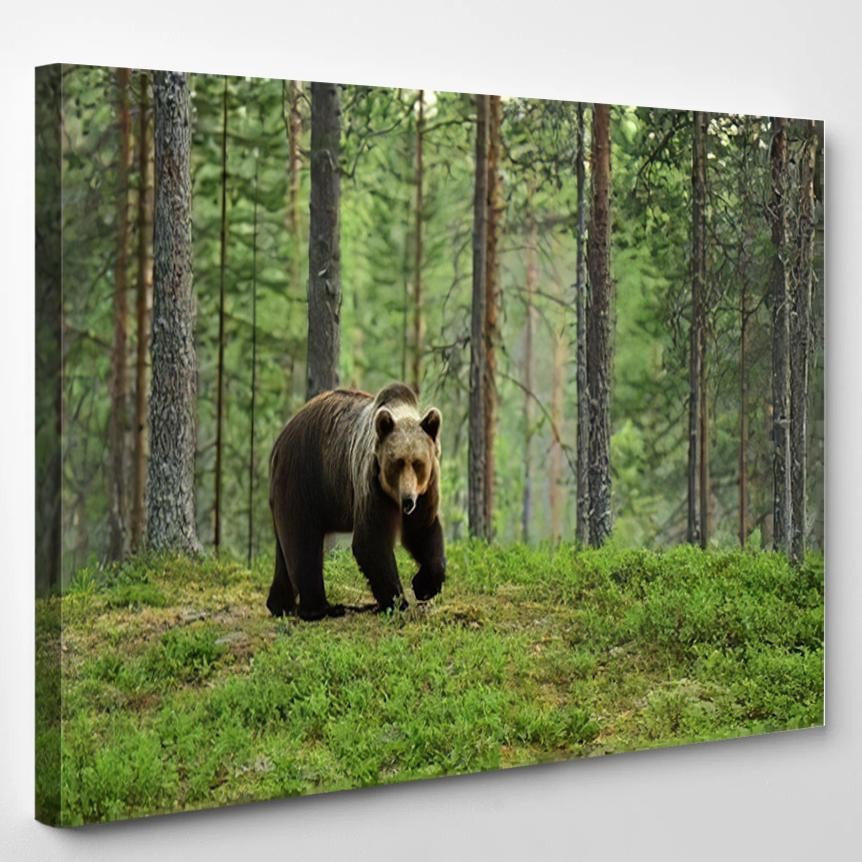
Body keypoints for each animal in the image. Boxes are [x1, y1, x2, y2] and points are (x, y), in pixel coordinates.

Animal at [266, 382, 446, 621]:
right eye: (396, 463)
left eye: (417, 463)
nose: (407, 501)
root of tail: (280, 440)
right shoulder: (371, 483)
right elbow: (371, 540)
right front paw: (397, 602)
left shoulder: (425, 490)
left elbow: (422, 530)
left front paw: (424, 586)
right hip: (303, 480)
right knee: (303, 543)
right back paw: (321, 608)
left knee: (285, 548)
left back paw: (279, 605)